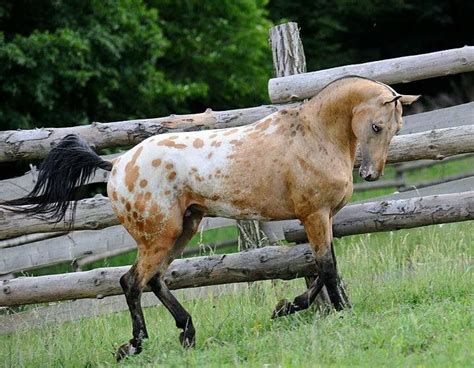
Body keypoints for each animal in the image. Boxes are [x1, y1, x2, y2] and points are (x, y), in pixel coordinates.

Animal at [2, 75, 418, 360]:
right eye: (377, 126)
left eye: (397, 128)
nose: (370, 175)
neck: (313, 137)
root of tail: (117, 164)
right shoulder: (314, 215)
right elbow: (327, 267)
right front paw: (342, 311)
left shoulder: (321, 218)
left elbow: (319, 267)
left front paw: (286, 307)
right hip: (160, 235)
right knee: (131, 282)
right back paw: (134, 345)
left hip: (184, 228)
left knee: (154, 280)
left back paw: (187, 332)